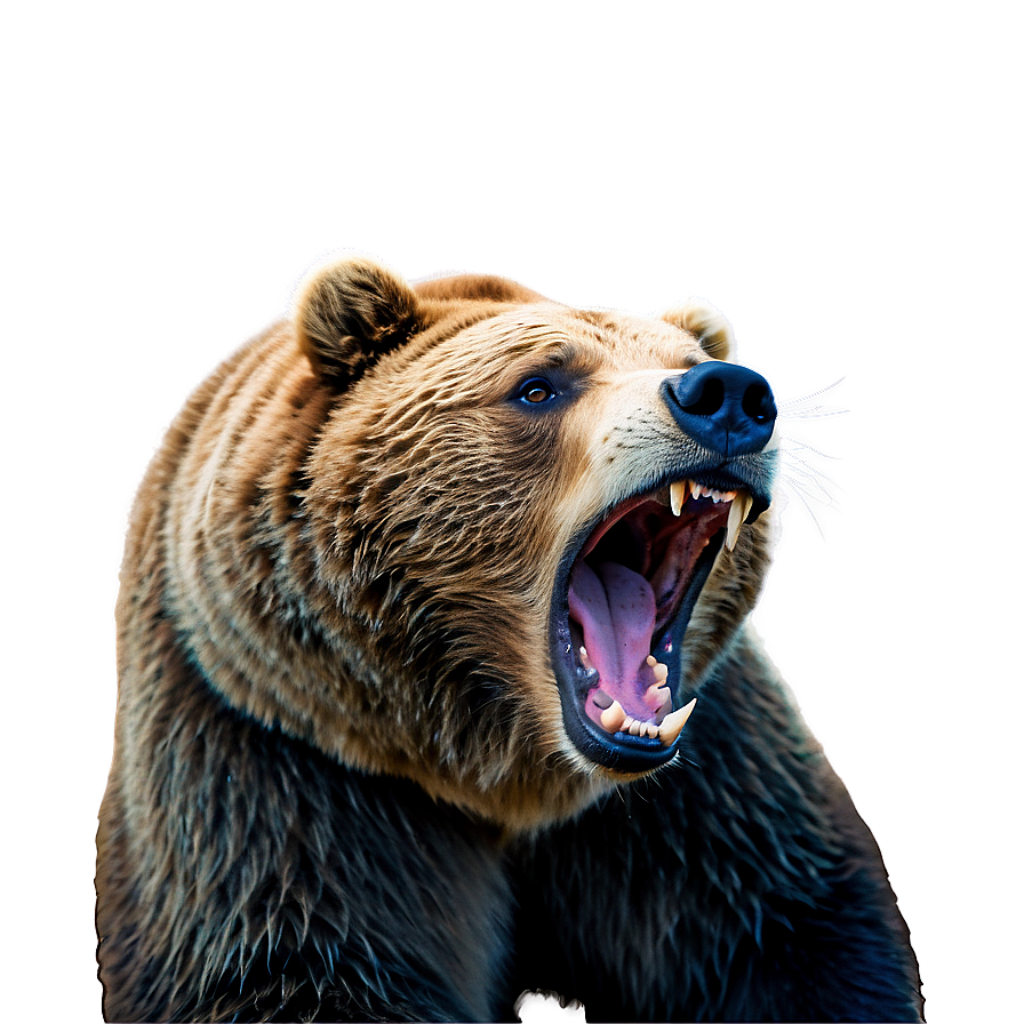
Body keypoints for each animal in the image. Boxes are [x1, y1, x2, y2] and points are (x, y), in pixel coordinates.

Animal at [96, 248, 922, 1023]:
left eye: (686, 362)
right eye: (538, 386)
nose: (728, 395)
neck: (505, 769)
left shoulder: (706, 795)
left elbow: (792, 931)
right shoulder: (273, 764)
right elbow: (284, 970)